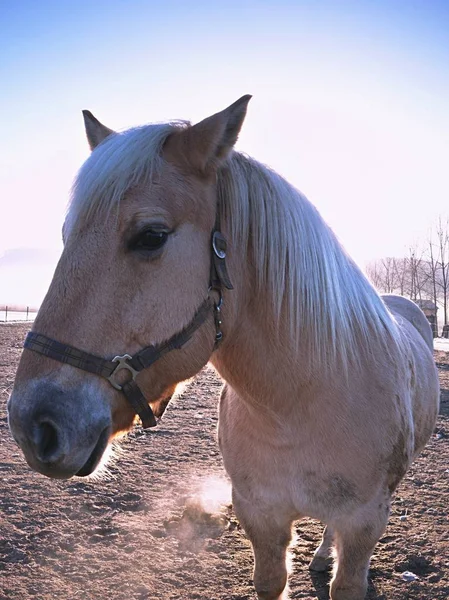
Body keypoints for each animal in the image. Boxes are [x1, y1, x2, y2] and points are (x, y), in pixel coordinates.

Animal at [8, 96, 440, 596]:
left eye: (151, 236)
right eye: (66, 238)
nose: (33, 425)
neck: (298, 408)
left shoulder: (363, 523)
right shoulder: (260, 516)